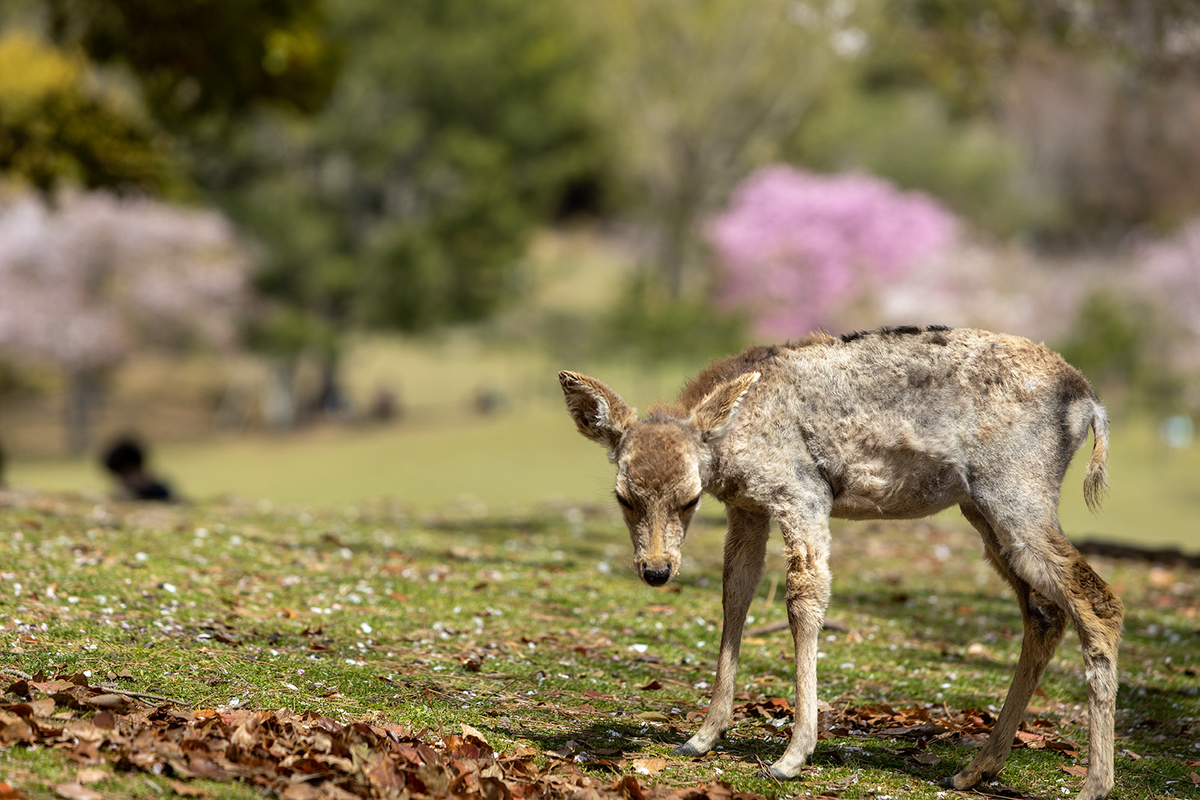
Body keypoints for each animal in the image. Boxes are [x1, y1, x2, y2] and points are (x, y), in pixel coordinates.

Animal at [556, 326, 1118, 800]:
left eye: (690, 498)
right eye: (624, 497)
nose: (656, 570)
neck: (734, 446)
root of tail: (1090, 404)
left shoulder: (801, 492)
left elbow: (804, 599)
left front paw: (793, 755)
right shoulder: (747, 507)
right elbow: (735, 594)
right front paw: (703, 736)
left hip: (1016, 491)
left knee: (1098, 599)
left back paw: (1094, 785)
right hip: (983, 510)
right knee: (1045, 613)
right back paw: (975, 770)